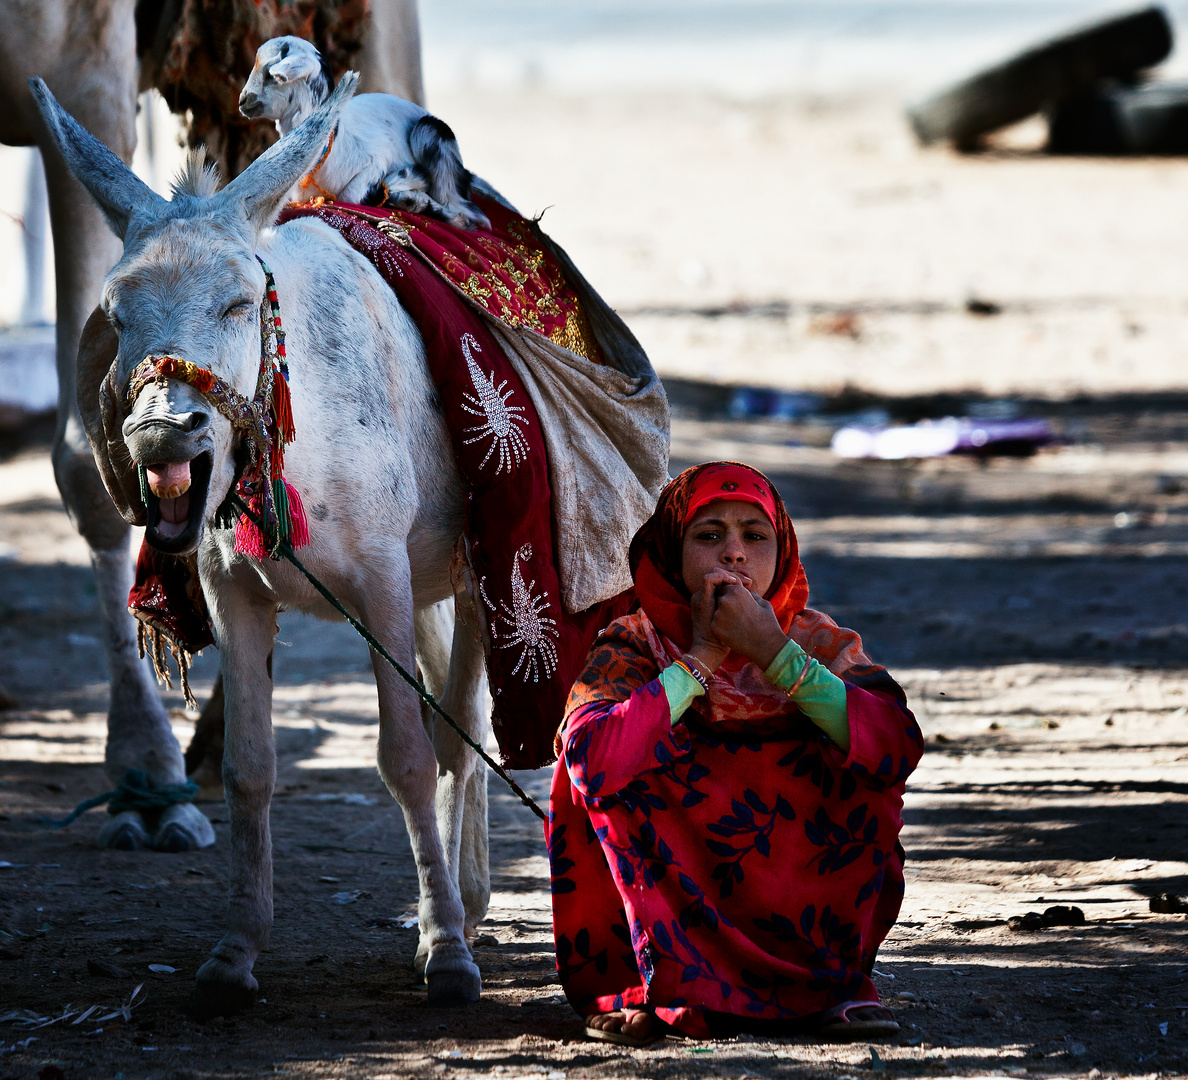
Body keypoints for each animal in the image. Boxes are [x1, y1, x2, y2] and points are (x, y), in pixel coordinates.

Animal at [238, 37, 489, 229]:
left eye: (270, 75)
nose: (242, 100)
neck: (334, 142)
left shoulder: (375, 162)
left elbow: (352, 195)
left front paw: (411, 184)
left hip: (430, 133)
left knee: (467, 214)